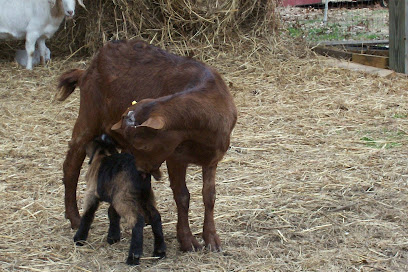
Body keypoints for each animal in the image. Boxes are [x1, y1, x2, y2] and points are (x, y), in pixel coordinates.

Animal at [55, 39, 237, 252]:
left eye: (143, 145)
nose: (141, 168)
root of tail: (86, 70)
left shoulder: (212, 158)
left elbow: (209, 196)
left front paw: (211, 238)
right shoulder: (175, 158)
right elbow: (182, 196)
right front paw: (187, 240)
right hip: (89, 117)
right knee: (72, 162)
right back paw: (74, 217)